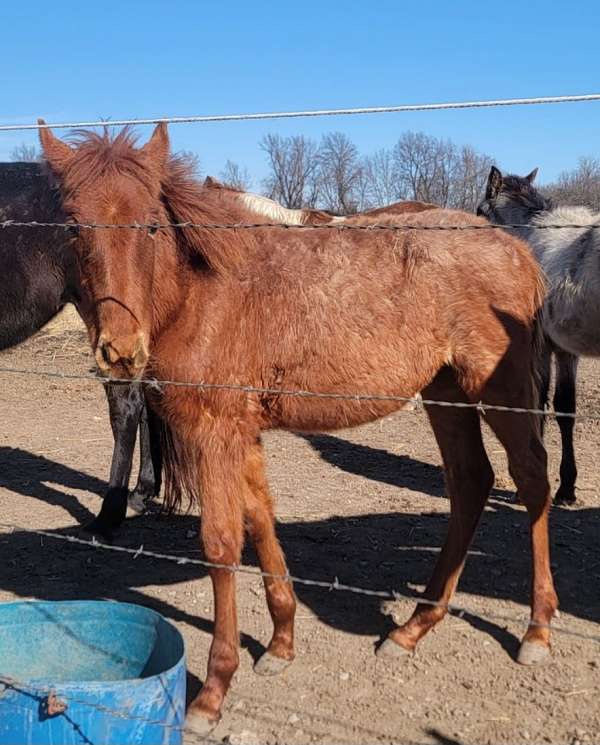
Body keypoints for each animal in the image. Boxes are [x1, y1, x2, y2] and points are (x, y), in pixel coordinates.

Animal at [39, 122, 556, 732]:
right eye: (75, 225)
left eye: (150, 223)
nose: (120, 352)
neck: (205, 293)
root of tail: (516, 248)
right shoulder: (242, 434)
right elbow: (261, 521)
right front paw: (281, 645)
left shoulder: (215, 433)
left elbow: (221, 543)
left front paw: (213, 692)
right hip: (445, 392)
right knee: (471, 483)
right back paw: (412, 628)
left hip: (500, 393)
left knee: (532, 482)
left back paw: (537, 631)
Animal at [478, 166, 600, 502]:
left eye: (479, 210)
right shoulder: (565, 351)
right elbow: (565, 409)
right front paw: (567, 487)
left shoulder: (541, 348)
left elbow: (540, 403)